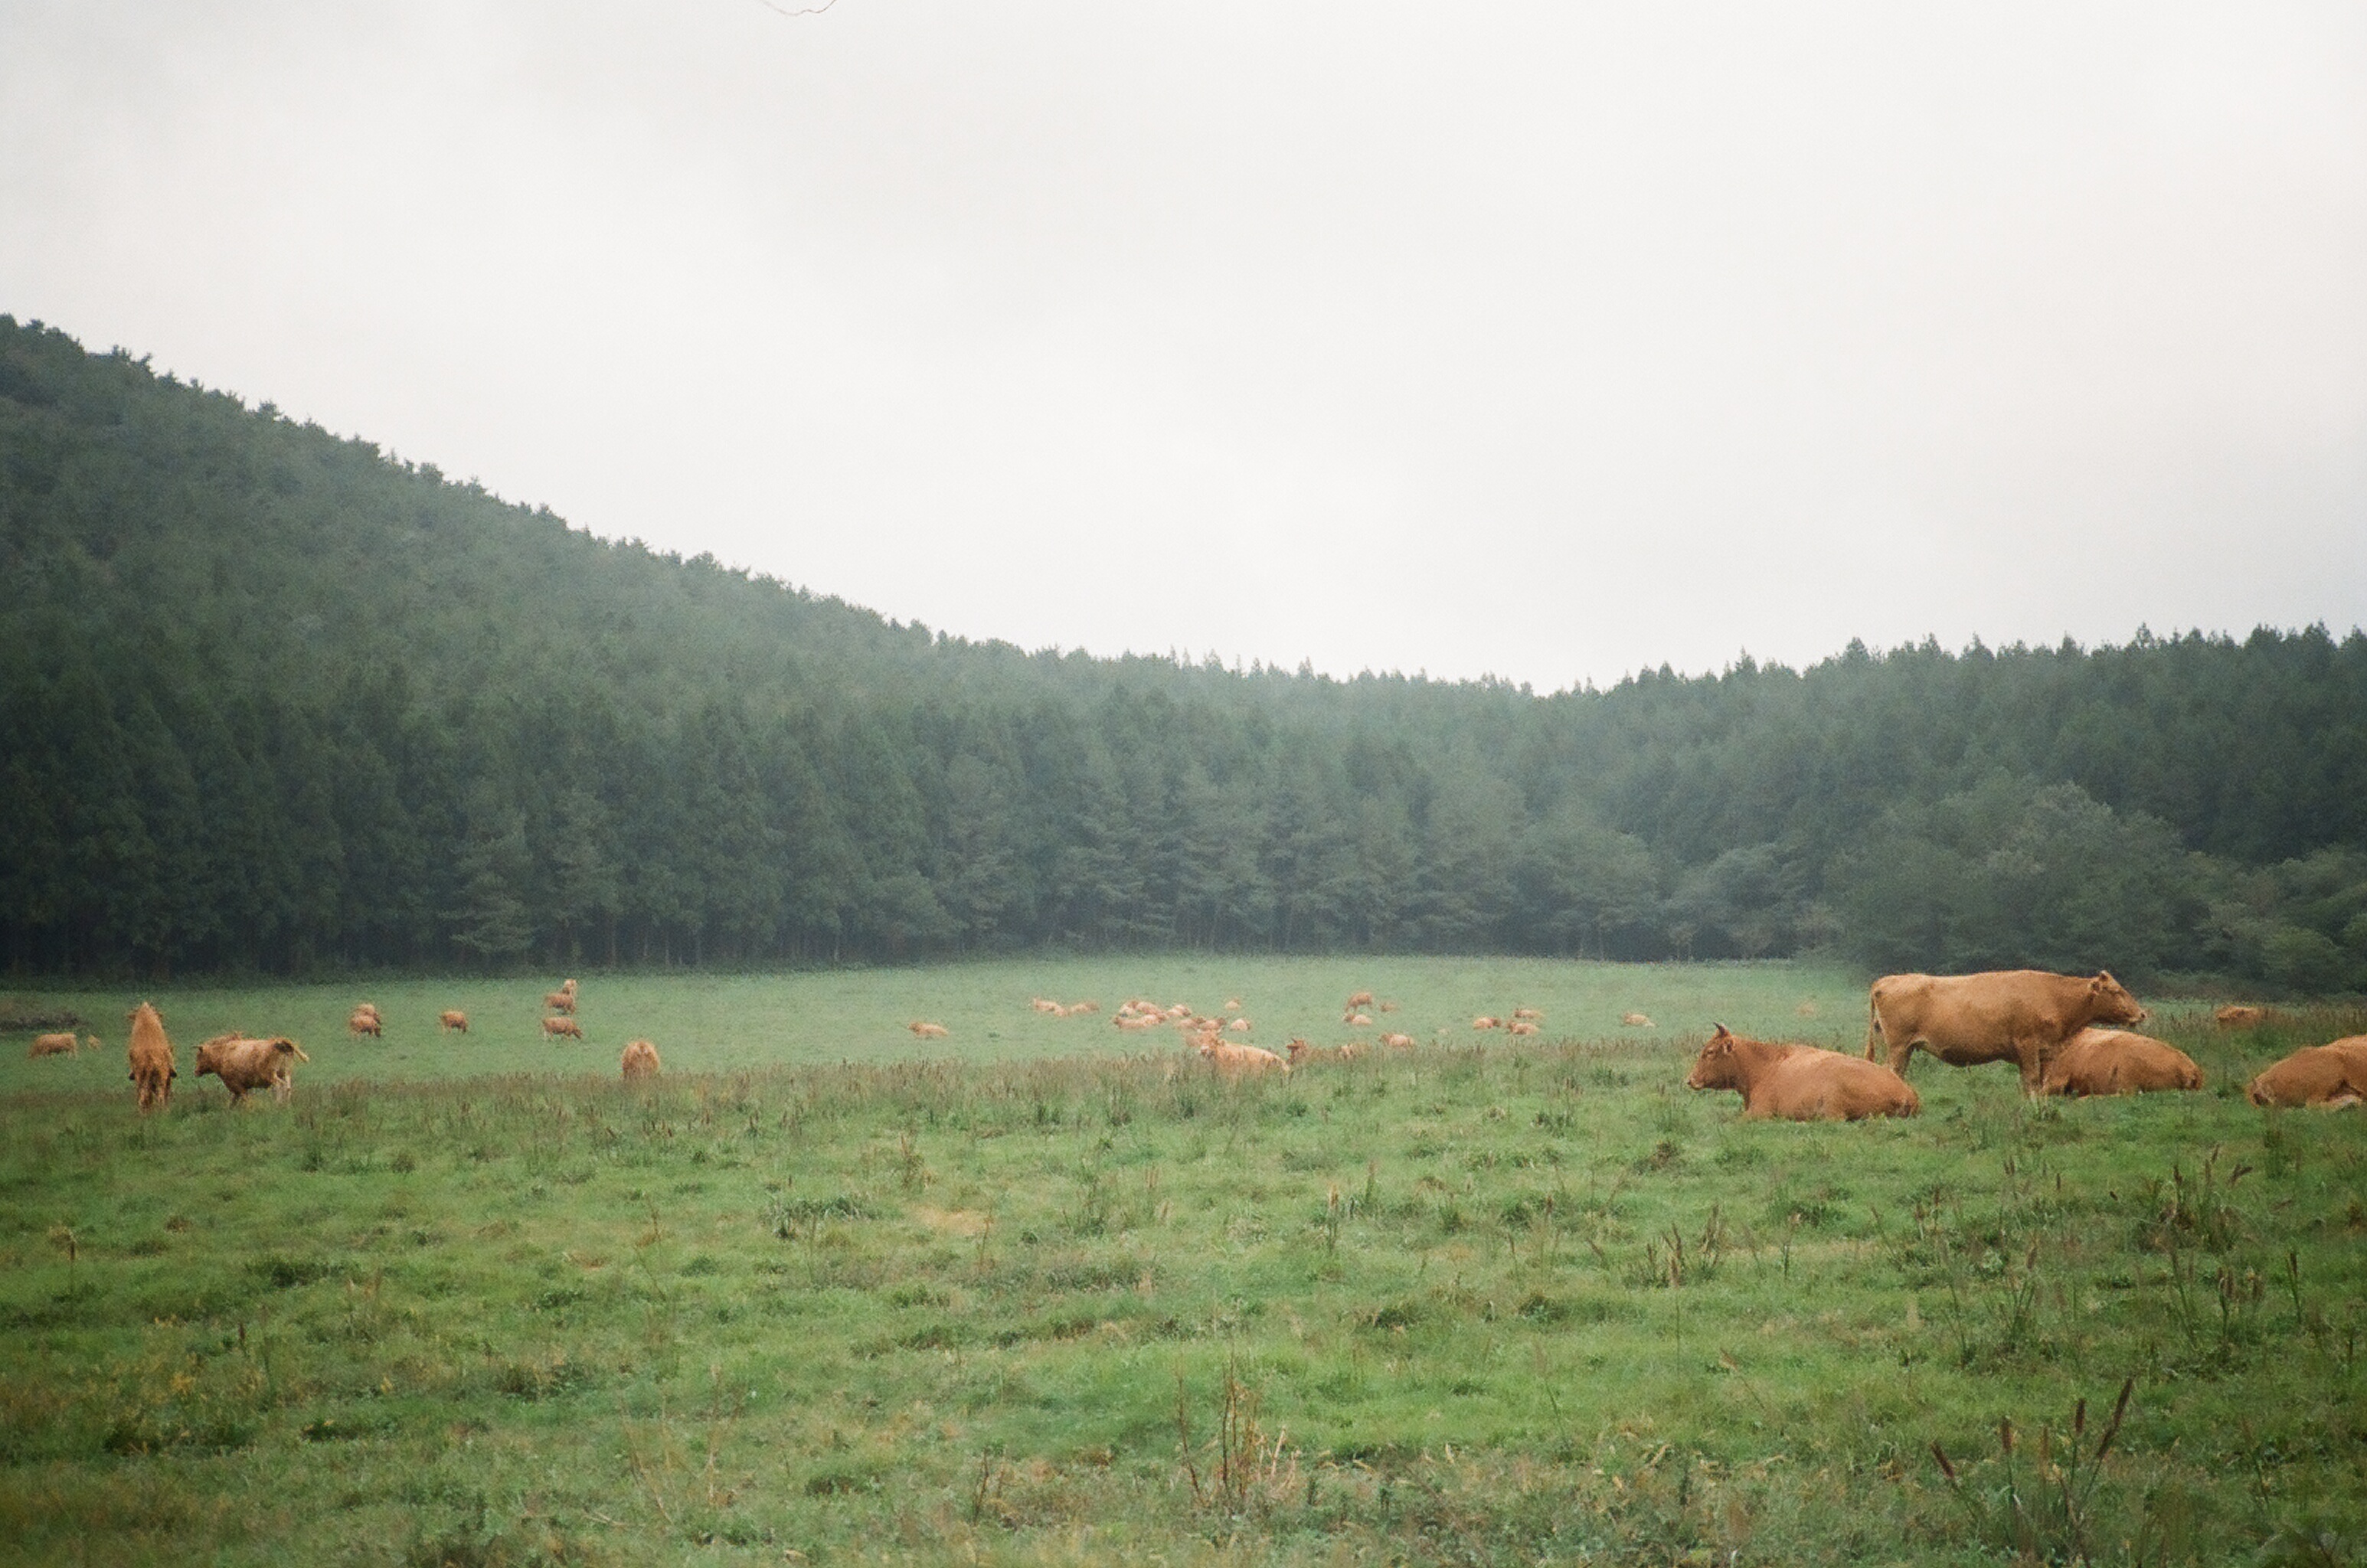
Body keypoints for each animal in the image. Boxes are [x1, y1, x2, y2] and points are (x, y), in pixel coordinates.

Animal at [195, 1035, 309, 1111]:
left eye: (199, 1056)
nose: (196, 1071)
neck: (223, 1054)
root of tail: (281, 1041)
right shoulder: (237, 1088)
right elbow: (232, 1102)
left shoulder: (237, 1085)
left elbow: (246, 1100)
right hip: (286, 1072)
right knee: (288, 1087)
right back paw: (287, 1105)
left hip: (271, 1074)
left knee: (280, 1084)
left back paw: (278, 1104)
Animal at [1685, 1026, 1921, 1121]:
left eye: (1710, 1052)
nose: (1690, 1080)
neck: (1764, 1066)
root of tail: (1906, 1093)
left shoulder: (1759, 1112)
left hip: (1833, 1103)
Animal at [1865, 969, 2149, 1093]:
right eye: (2116, 991)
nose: (2142, 1013)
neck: (2053, 996)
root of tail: (1886, 980)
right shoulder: (2027, 1044)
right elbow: (2032, 1080)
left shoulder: (2045, 1051)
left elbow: (2038, 1082)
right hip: (1898, 1046)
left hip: (1906, 1048)